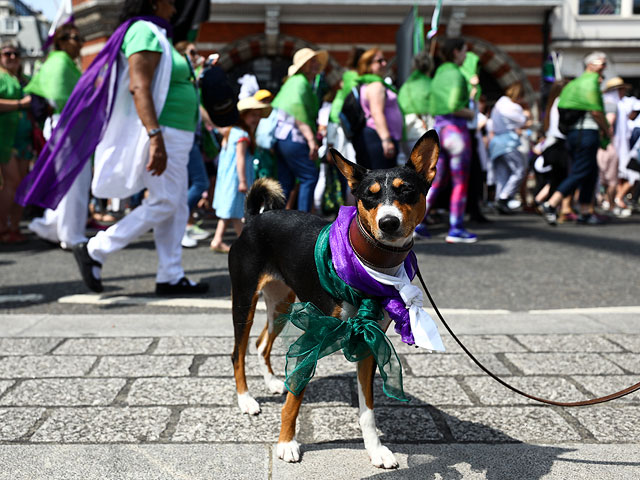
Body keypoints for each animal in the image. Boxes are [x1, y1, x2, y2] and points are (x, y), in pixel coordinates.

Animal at [229, 129, 440, 466]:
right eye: (370, 195)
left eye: (407, 190)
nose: (388, 222)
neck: (368, 264)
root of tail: (253, 220)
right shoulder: (314, 335)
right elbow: (296, 398)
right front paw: (286, 443)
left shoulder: (369, 338)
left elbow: (368, 410)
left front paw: (375, 449)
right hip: (244, 299)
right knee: (237, 353)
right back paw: (246, 400)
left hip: (282, 301)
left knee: (262, 342)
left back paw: (273, 381)